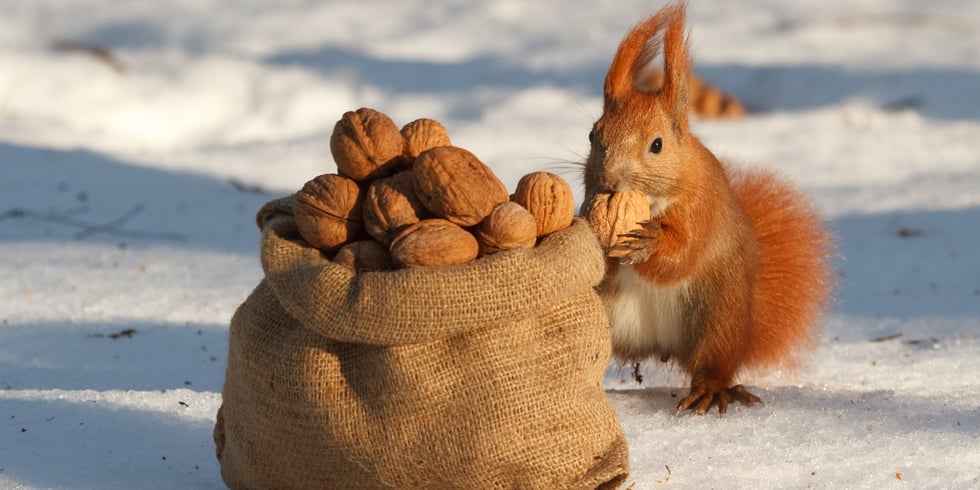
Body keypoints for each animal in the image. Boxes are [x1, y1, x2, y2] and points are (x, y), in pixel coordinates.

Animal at [584, 2, 832, 418]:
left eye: (657, 145)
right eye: (592, 135)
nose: (610, 182)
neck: (653, 203)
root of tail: (658, 346)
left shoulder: (703, 208)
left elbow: (683, 253)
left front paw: (649, 243)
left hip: (720, 316)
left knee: (714, 362)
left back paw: (713, 390)